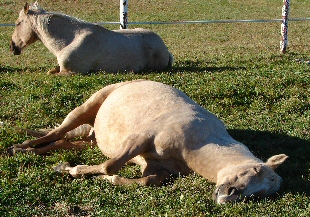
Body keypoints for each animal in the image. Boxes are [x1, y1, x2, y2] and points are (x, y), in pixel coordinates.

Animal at [7, 79, 288, 203]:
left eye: (259, 195)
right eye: (255, 170)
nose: (228, 196)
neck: (199, 141)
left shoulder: (157, 167)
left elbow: (146, 181)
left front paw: (104, 179)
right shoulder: (139, 139)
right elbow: (111, 165)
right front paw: (72, 169)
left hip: (92, 140)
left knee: (62, 142)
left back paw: (37, 154)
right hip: (87, 107)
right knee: (55, 133)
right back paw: (18, 148)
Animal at [9, 1, 173, 75]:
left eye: (17, 23)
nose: (12, 47)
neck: (69, 40)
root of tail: (165, 48)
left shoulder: (71, 73)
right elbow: (51, 71)